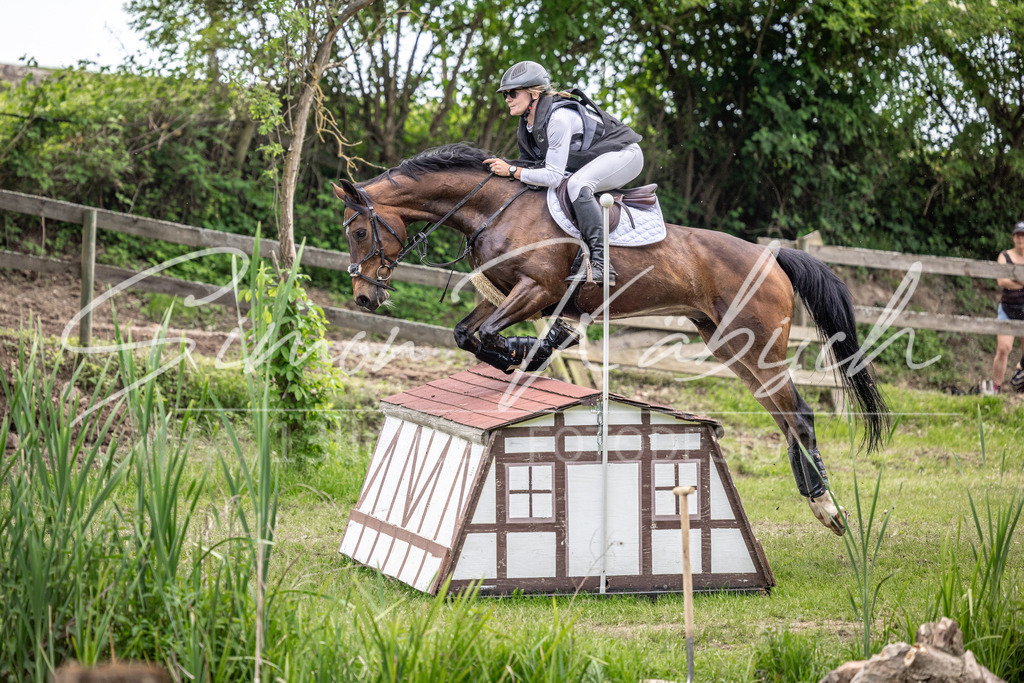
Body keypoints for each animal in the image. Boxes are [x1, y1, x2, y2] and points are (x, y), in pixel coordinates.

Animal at [332, 143, 890, 535]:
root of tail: (771, 256)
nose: (364, 297)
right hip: (729, 345)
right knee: (783, 415)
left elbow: (489, 335)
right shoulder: (504, 293)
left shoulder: (536, 290)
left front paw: (528, 352)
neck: (495, 207)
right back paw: (819, 500)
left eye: (358, 232)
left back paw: (827, 507)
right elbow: (468, 333)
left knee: (799, 413)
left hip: (756, 344)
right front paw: (523, 356)